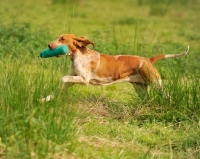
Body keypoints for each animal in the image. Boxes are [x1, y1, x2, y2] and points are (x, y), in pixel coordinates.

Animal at [39, 33, 189, 102]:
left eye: (62, 39)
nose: (49, 45)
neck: (78, 54)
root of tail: (148, 60)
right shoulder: (74, 79)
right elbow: (58, 88)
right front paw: (44, 100)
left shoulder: (84, 79)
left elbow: (63, 78)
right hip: (141, 89)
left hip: (156, 83)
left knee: (168, 96)